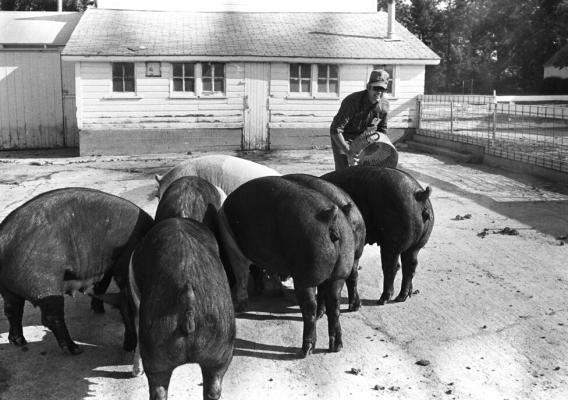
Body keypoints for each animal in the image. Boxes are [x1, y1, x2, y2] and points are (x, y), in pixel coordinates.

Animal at [0, 186, 154, 354]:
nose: (127, 348)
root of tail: (4, 238)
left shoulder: (107, 267)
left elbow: (102, 285)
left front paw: (98, 310)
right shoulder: (122, 264)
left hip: (8, 288)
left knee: (12, 310)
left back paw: (18, 342)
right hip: (45, 282)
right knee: (51, 317)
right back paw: (75, 349)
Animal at [217, 176, 356, 356]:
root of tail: (330, 217)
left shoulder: (234, 250)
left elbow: (241, 274)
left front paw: (240, 307)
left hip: (305, 272)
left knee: (310, 307)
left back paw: (305, 351)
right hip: (341, 269)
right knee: (335, 305)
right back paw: (336, 347)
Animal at [320, 166, 434, 306]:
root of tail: (420, 194)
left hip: (391, 243)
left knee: (392, 267)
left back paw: (383, 300)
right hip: (417, 244)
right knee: (410, 265)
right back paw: (402, 297)